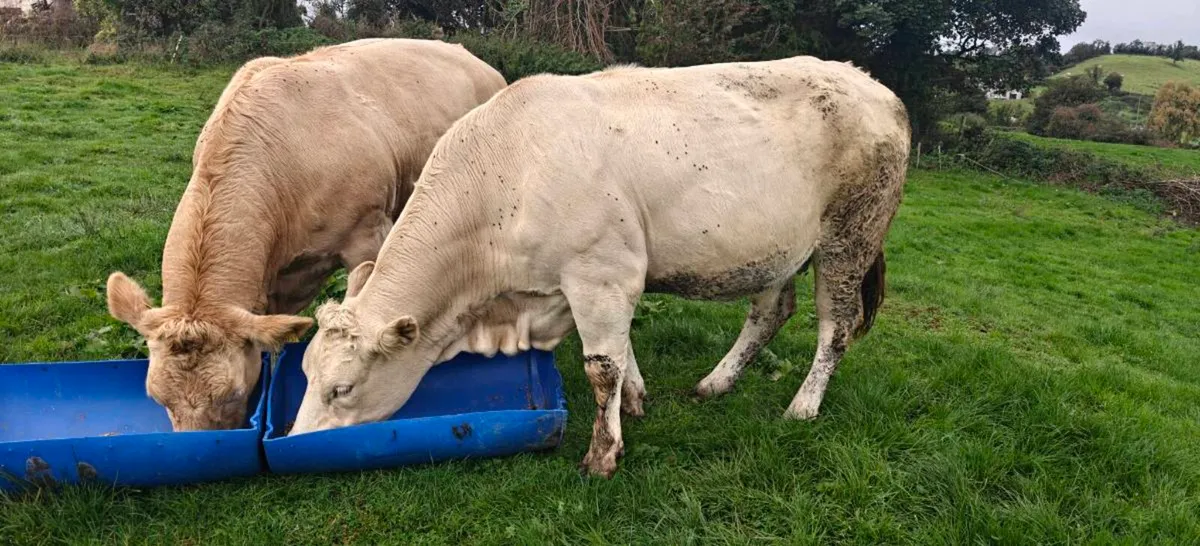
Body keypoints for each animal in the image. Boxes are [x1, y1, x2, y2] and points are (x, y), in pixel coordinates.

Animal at [287, 56, 910, 478]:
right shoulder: (601, 279)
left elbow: (600, 367)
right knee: (772, 310)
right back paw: (716, 381)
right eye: (306, 375)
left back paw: (803, 405)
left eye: (342, 389)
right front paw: (635, 400)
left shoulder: (600, 272)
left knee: (837, 326)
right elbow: (623, 350)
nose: (294, 439)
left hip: (849, 237)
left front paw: (602, 453)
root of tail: (874, 85)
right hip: (778, 250)